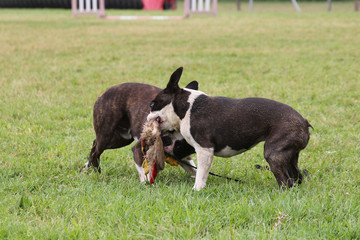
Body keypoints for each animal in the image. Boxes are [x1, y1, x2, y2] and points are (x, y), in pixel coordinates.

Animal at [148, 66, 310, 190]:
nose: (147, 116)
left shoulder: (204, 150)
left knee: (285, 180)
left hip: (274, 153)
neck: (187, 108)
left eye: (152, 104)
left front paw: (197, 189)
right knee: (296, 176)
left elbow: (201, 173)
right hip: (289, 154)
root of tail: (304, 121)